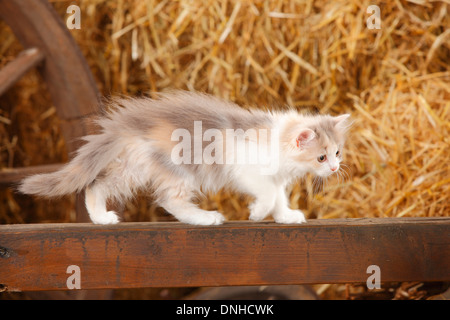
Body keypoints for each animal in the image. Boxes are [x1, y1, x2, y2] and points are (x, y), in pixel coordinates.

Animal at [19, 90, 350, 225]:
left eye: (337, 152)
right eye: (321, 158)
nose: (335, 168)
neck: (276, 141)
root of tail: (127, 124)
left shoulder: (274, 177)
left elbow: (279, 196)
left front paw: (286, 216)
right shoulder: (246, 171)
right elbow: (268, 194)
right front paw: (257, 213)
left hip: (133, 167)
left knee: (96, 185)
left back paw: (100, 218)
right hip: (178, 169)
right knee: (170, 200)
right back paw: (205, 218)